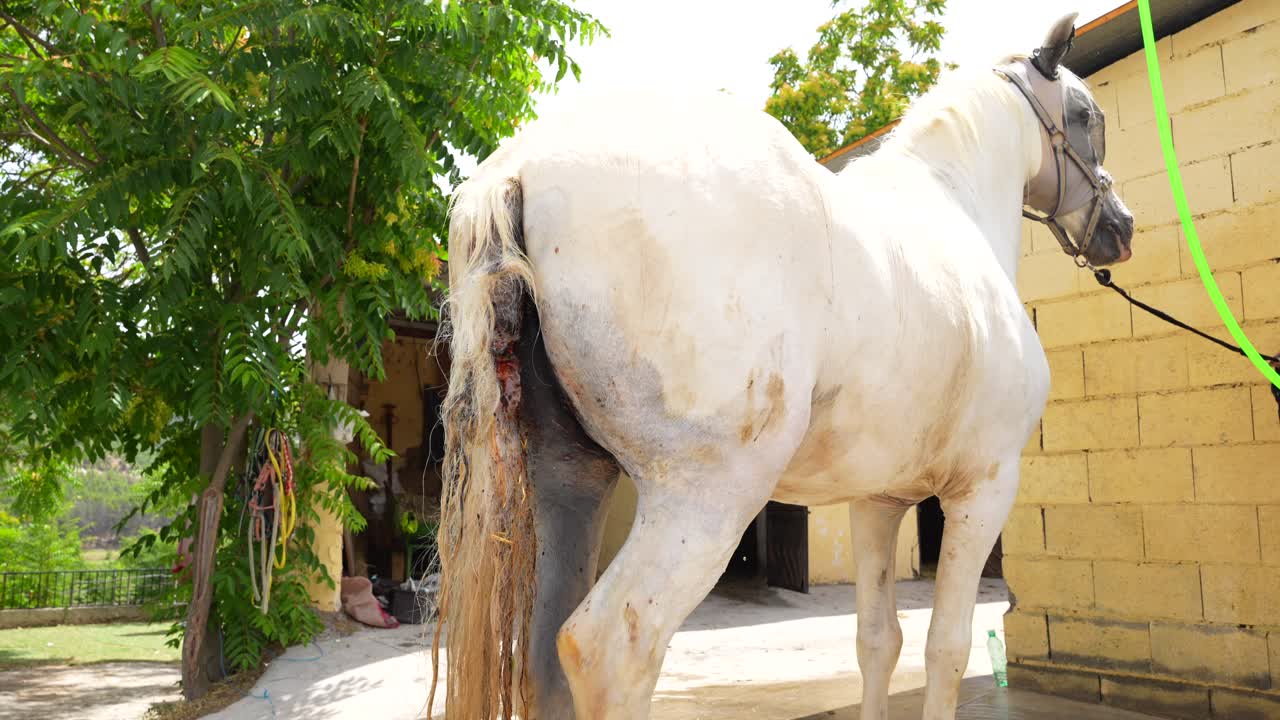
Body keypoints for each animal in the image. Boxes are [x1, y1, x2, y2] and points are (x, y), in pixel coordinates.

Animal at [431, 11, 1134, 720]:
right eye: (1086, 116)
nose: (1121, 228)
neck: (956, 211)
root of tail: (522, 166)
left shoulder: (877, 502)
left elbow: (878, 641)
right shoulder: (983, 490)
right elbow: (947, 648)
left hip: (569, 484)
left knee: (544, 652)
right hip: (706, 497)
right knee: (608, 648)